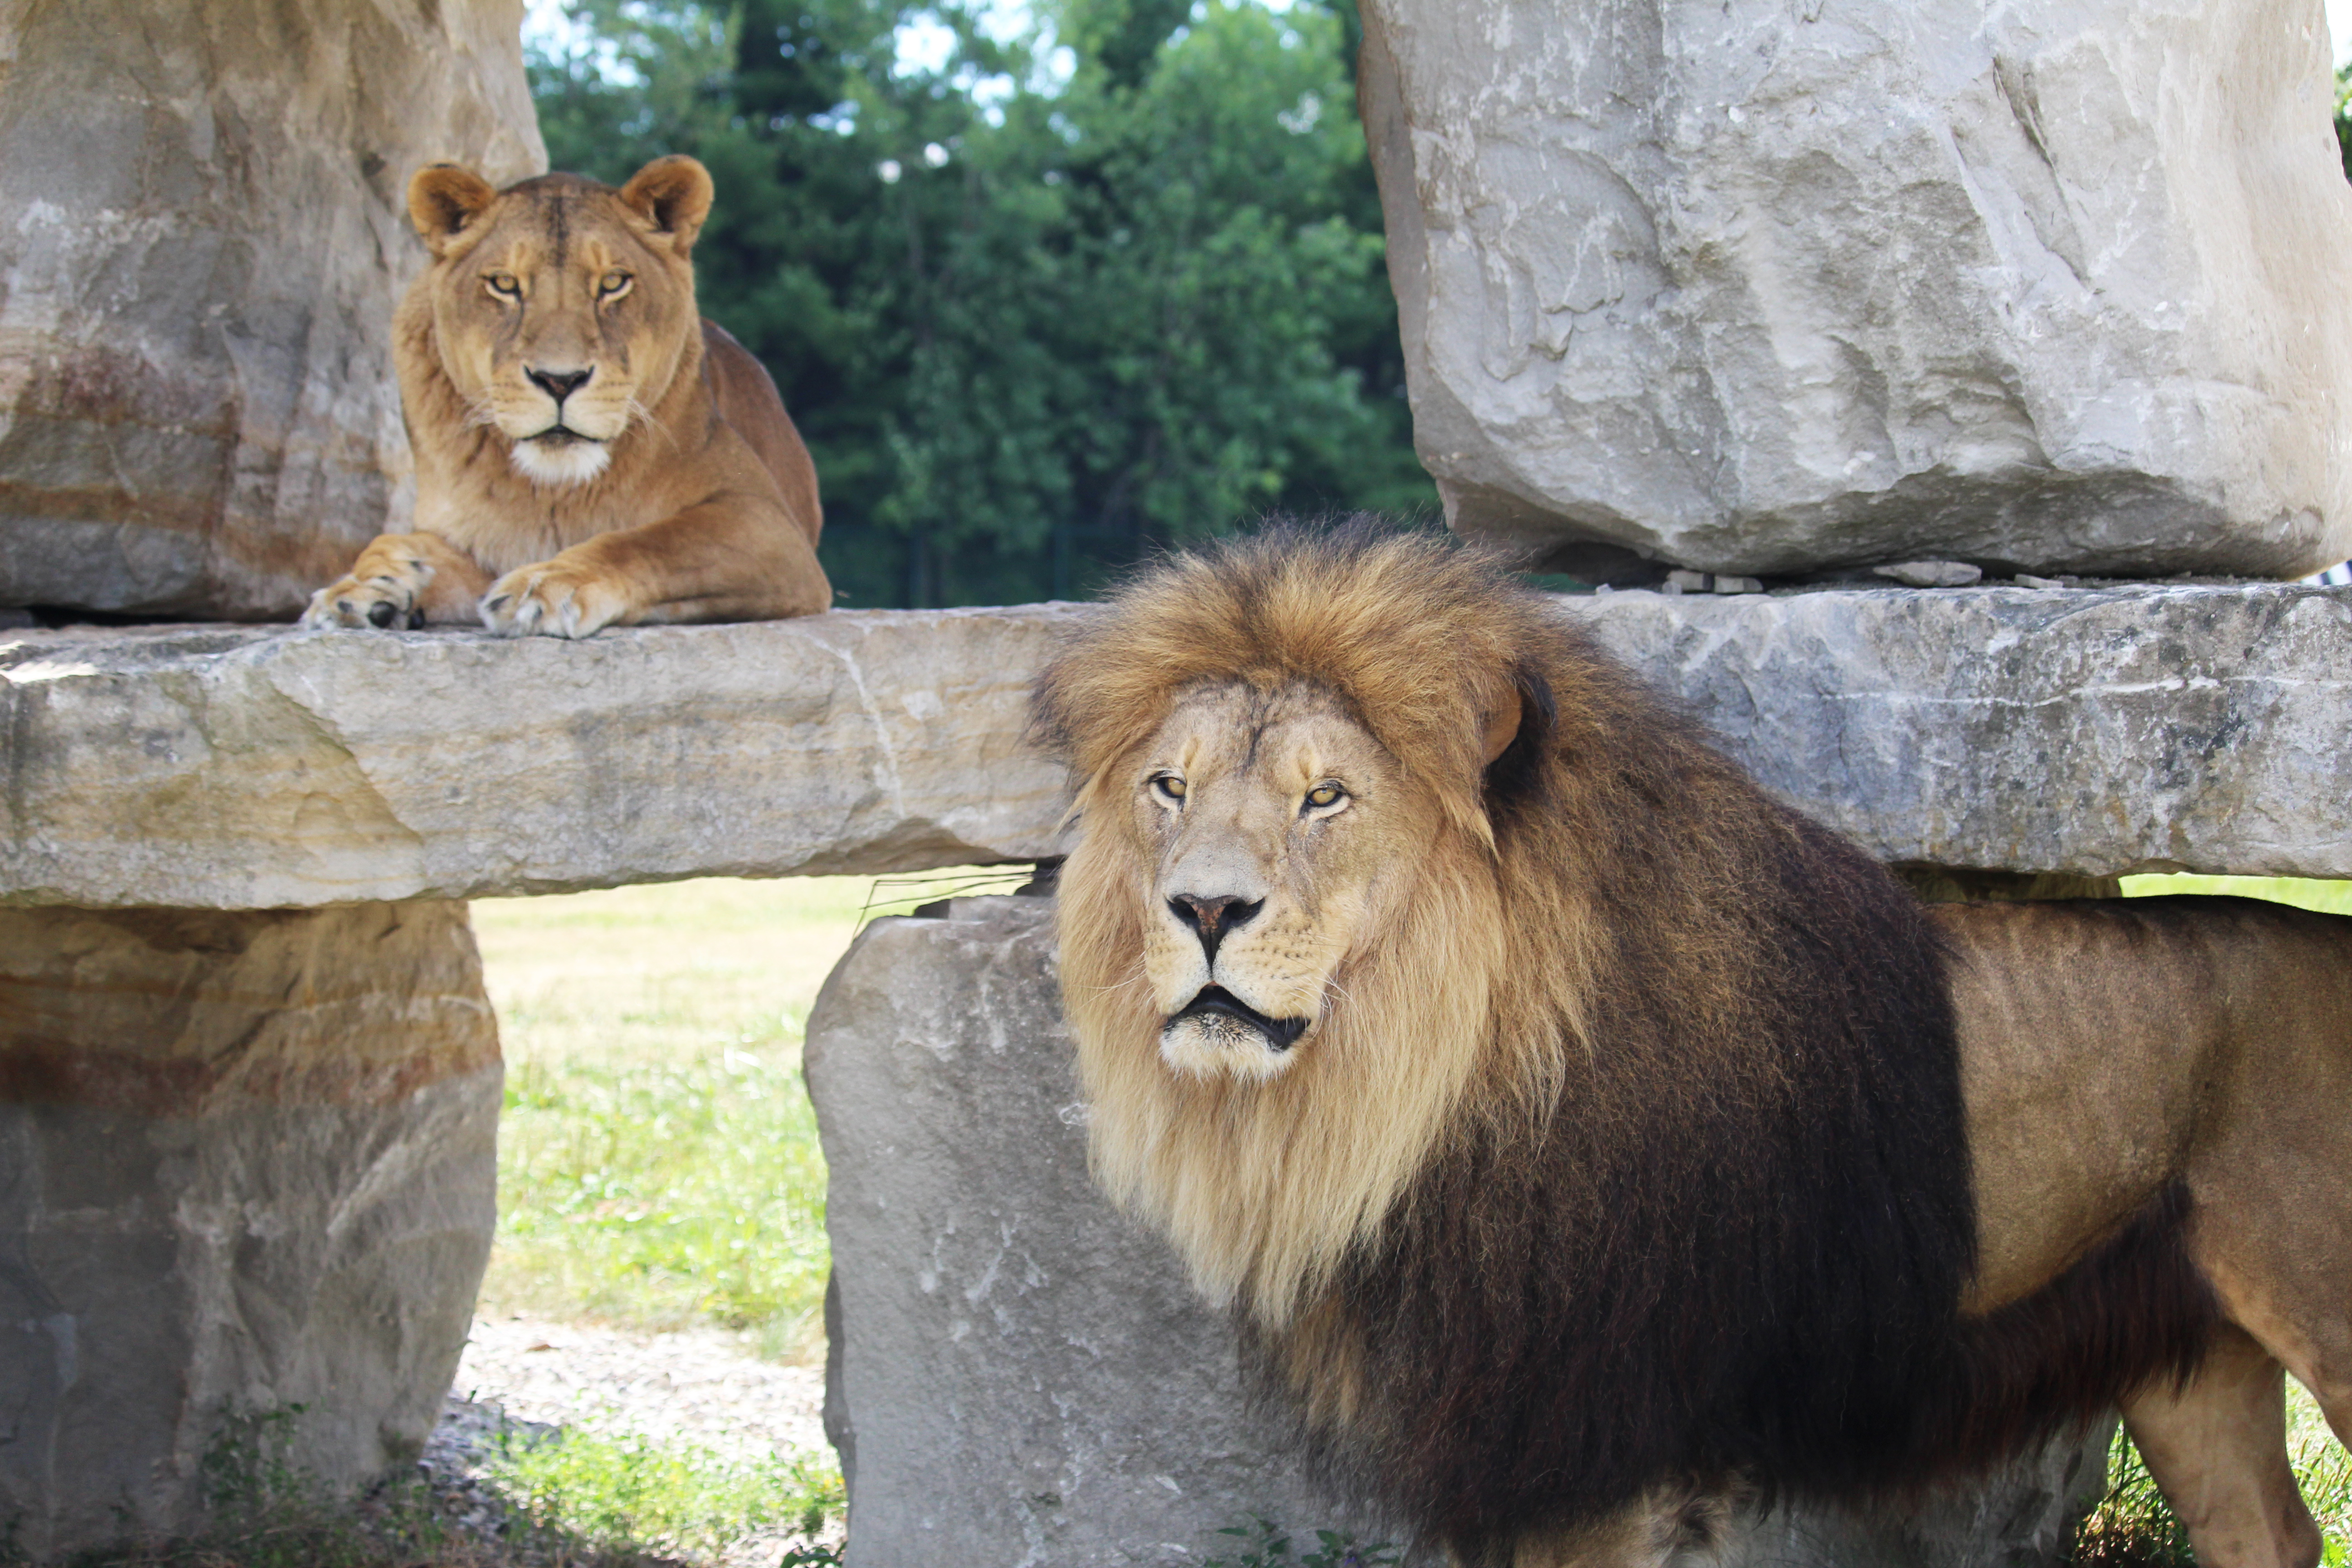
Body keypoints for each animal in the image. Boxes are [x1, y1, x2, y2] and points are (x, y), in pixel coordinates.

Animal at [300, 156, 828, 638]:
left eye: (613, 283)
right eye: (505, 284)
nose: (559, 380)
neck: (551, 491)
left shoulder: (769, 525)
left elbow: (651, 541)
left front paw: (549, 586)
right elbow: (395, 541)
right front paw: (367, 587)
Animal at [1031, 525, 2352, 1568]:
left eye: (1326, 798)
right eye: (1168, 787)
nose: (1202, 909)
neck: (1430, 1081)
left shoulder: (1597, 1442)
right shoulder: (1502, 1441)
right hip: (2199, 1362)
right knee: (2269, 1535)